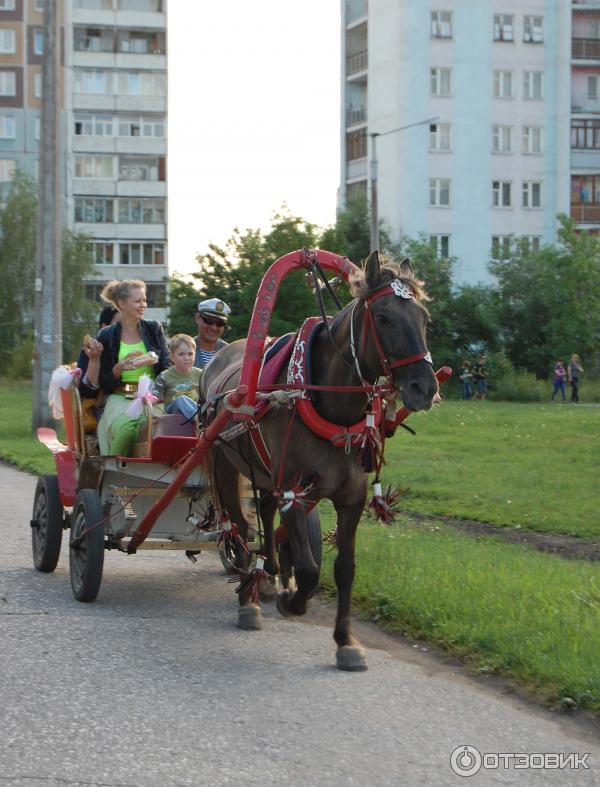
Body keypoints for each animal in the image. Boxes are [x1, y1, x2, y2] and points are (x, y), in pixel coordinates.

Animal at [202, 252, 436, 672]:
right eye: (384, 318)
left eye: (424, 318)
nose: (425, 388)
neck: (328, 402)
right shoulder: (295, 492)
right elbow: (311, 570)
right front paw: (292, 600)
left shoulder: (351, 497)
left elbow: (344, 568)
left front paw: (345, 641)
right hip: (225, 464)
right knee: (240, 526)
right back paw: (250, 598)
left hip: (268, 473)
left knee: (264, 513)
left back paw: (269, 574)